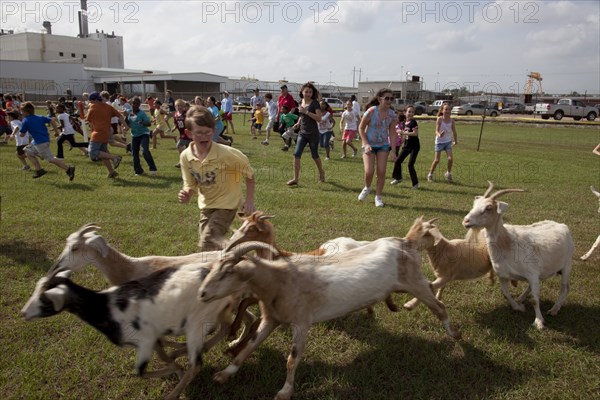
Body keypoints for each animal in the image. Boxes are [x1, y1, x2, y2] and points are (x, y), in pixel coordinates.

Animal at [21, 262, 237, 400]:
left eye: (45, 301)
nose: (23, 313)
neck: (105, 307)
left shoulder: (144, 341)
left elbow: (140, 372)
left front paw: (175, 369)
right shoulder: (151, 338)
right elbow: (163, 353)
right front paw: (175, 365)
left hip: (196, 323)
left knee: (197, 363)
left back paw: (173, 394)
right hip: (215, 312)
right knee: (225, 326)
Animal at [200, 219, 460, 400]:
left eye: (228, 272)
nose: (202, 293)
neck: (282, 278)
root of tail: (406, 242)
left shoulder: (302, 322)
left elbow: (292, 359)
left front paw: (285, 391)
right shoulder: (271, 318)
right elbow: (251, 345)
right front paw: (225, 373)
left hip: (414, 282)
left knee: (439, 306)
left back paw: (454, 336)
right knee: (431, 289)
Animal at [462, 182, 576, 332]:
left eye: (488, 208)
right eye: (474, 205)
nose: (466, 221)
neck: (507, 244)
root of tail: (562, 225)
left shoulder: (532, 273)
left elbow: (535, 300)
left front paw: (539, 322)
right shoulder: (503, 275)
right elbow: (505, 293)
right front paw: (518, 307)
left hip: (567, 264)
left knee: (565, 287)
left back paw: (554, 309)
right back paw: (521, 299)